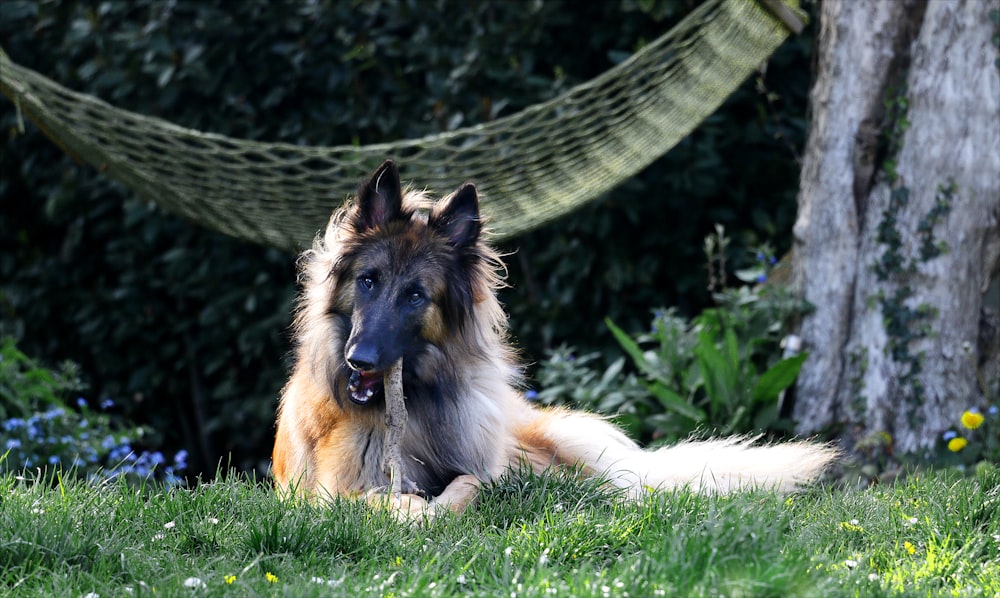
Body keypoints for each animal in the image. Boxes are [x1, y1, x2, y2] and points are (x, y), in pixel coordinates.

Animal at [272, 161, 836, 520]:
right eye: (368, 281)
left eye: (415, 296)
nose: (359, 360)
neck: (414, 403)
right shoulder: (333, 491)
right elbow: (381, 499)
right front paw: (413, 512)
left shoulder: (488, 467)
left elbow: (471, 484)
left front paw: (438, 509)